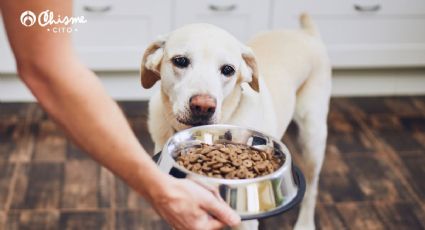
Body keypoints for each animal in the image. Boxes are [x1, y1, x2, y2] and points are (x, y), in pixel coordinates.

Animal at [140, 13, 332, 229]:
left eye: (228, 69)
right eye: (180, 60)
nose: (203, 106)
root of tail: (307, 33)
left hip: (313, 138)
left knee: (312, 187)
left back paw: (305, 223)